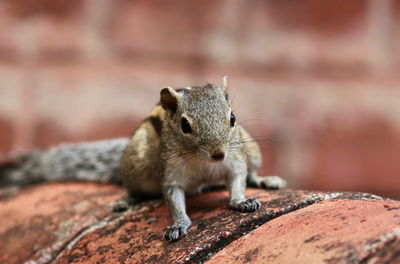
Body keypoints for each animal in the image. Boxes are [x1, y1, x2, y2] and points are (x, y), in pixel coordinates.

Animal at [0, 76, 288, 241]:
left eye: (232, 118)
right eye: (185, 125)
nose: (218, 153)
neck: (204, 162)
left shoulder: (235, 159)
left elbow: (239, 179)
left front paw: (242, 201)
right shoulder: (171, 173)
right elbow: (173, 198)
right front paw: (178, 224)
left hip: (252, 149)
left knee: (252, 172)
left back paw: (265, 180)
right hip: (135, 167)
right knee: (134, 188)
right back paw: (127, 200)